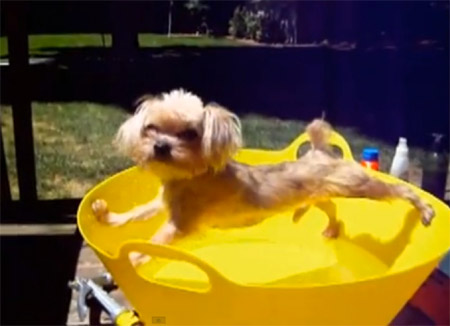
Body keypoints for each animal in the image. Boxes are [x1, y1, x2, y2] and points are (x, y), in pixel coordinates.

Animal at [92, 89, 436, 262]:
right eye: (151, 128)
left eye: (190, 133)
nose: (161, 146)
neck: (188, 177)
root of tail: (319, 152)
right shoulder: (162, 204)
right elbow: (135, 213)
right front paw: (108, 217)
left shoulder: (179, 224)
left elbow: (154, 242)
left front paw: (133, 259)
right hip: (324, 191)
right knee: (331, 208)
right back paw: (328, 228)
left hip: (358, 185)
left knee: (398, 191)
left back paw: (424, 209)